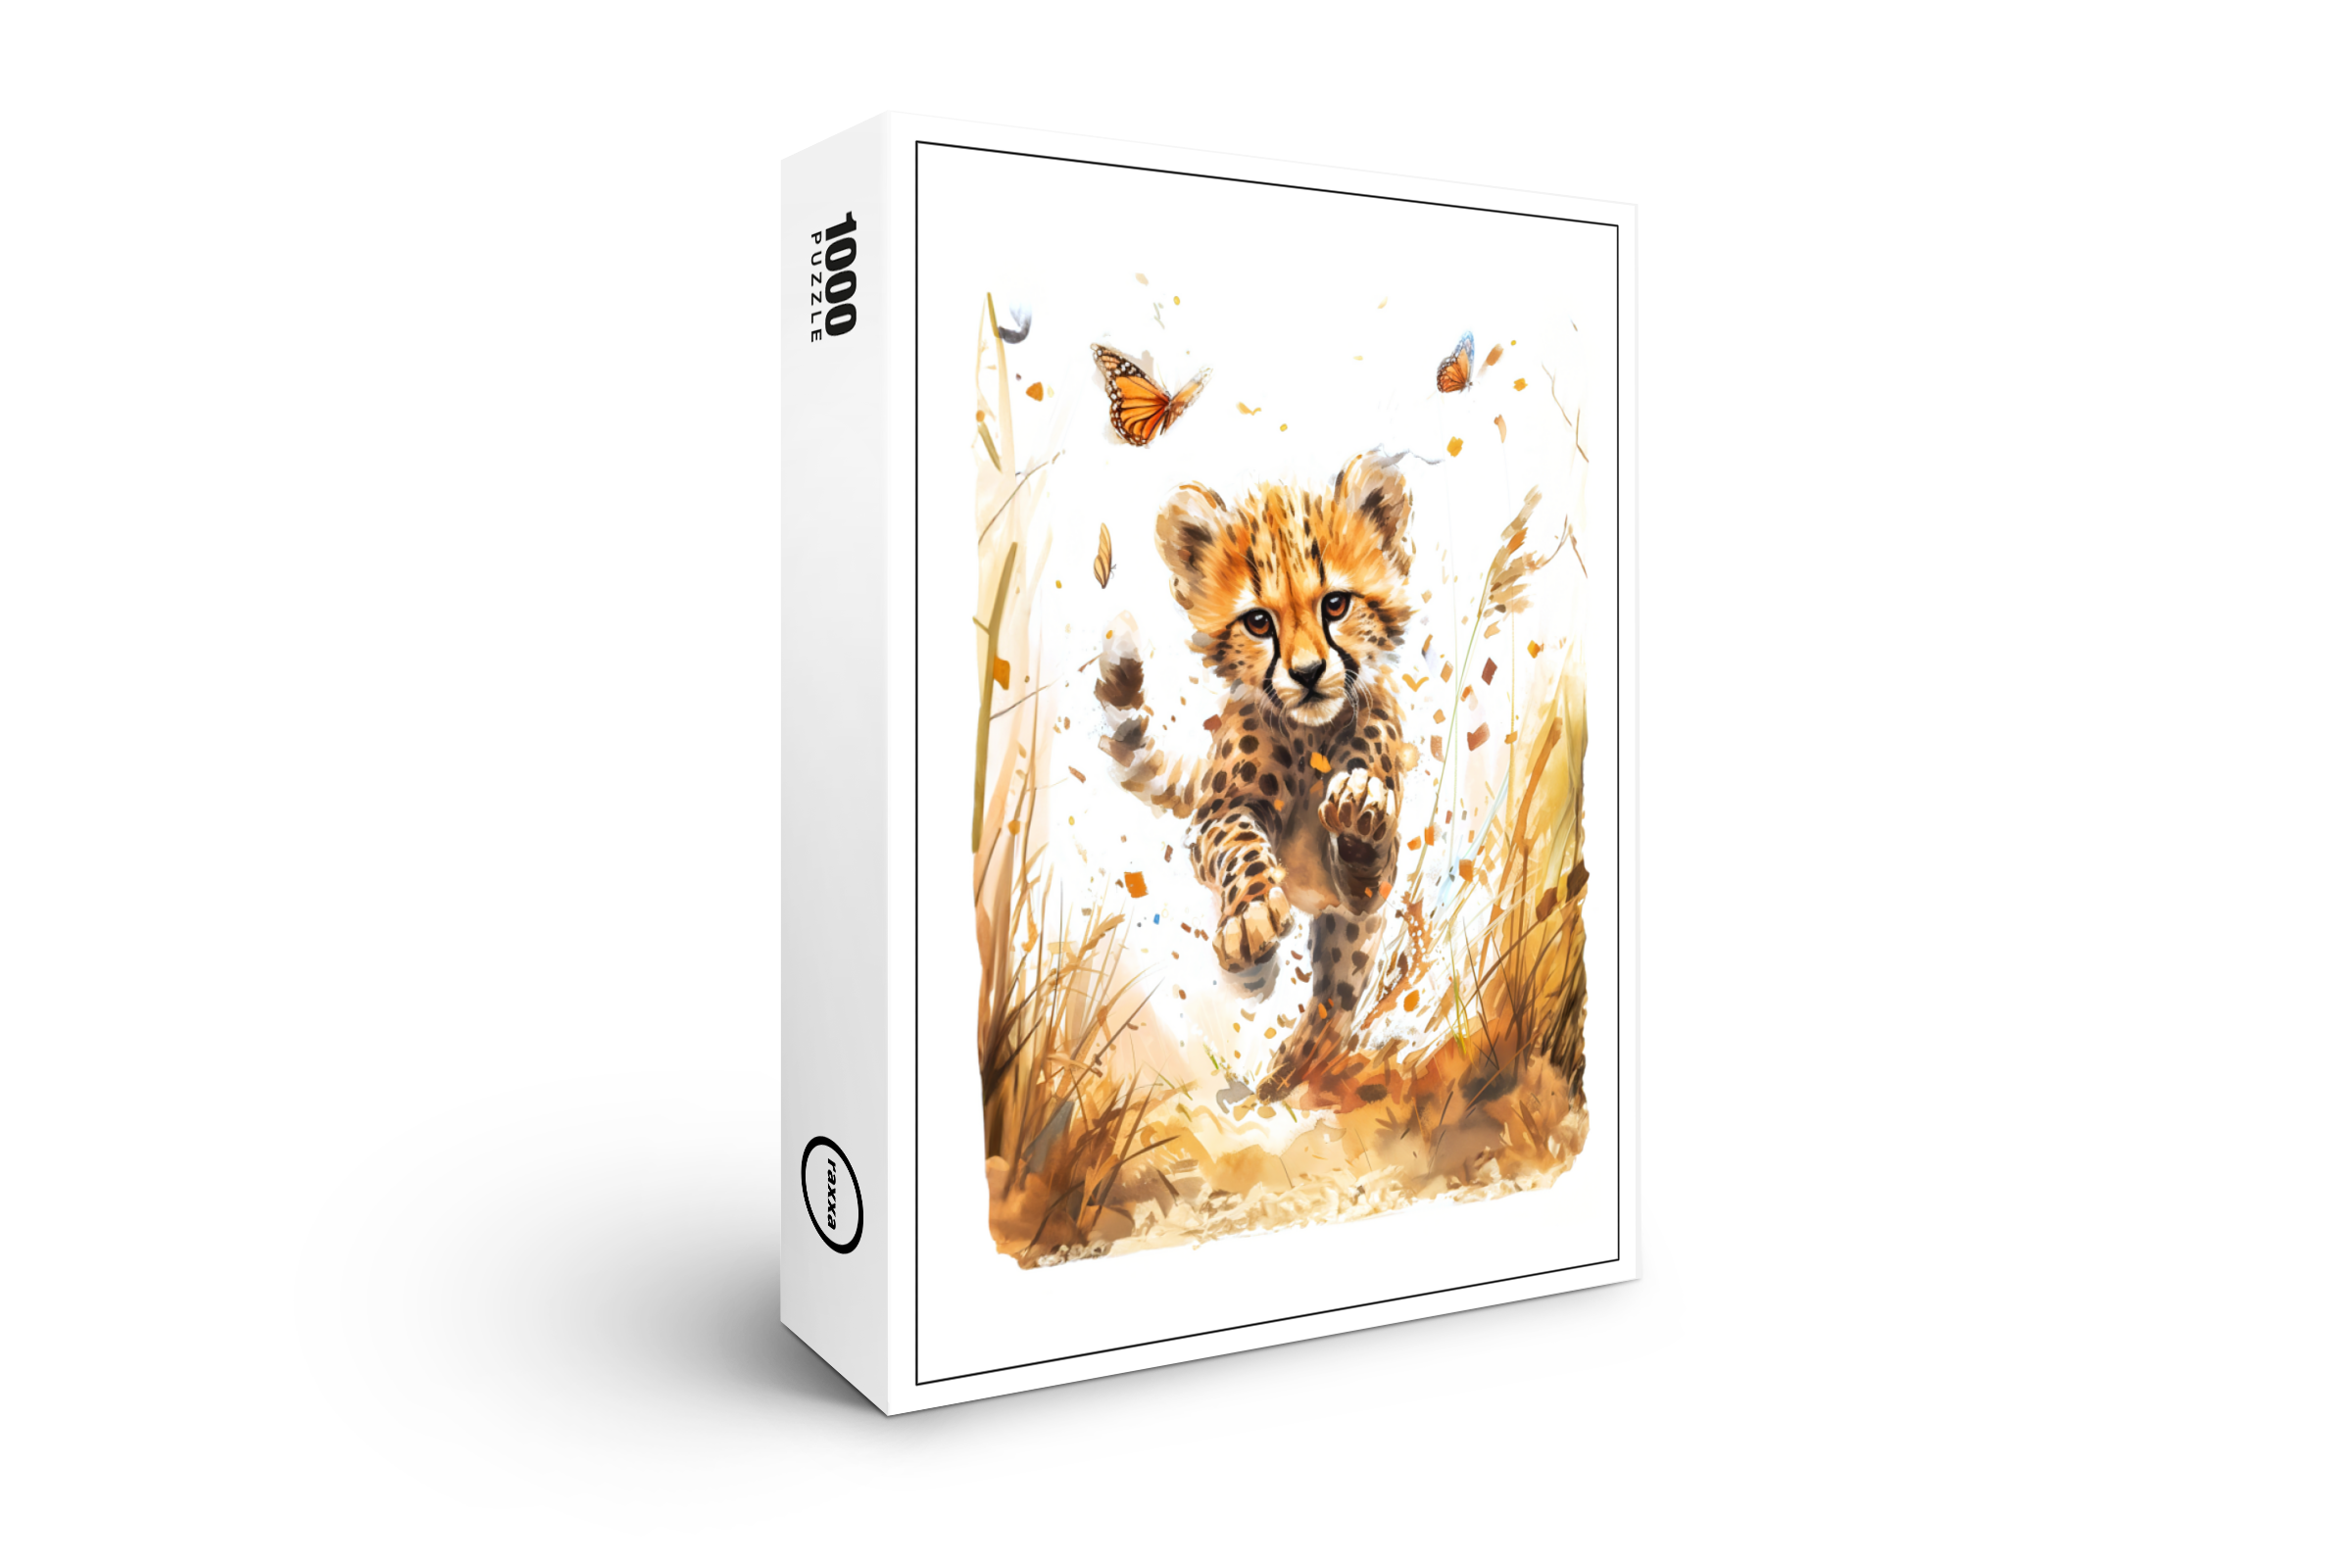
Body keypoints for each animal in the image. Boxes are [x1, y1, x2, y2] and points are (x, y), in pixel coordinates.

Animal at [1095, 448, 1417, 1102]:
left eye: (1336, 605)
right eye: (1259, 623)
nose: (1309, 673)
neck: (1310, 737)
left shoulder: (1367, 895)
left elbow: (1367, 861)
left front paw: (1358, 817)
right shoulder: (1218, 814)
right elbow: (1239, 845)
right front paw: (1249, 920)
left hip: (1346, 946)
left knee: (1332, 1001)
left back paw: (1290, 1070)